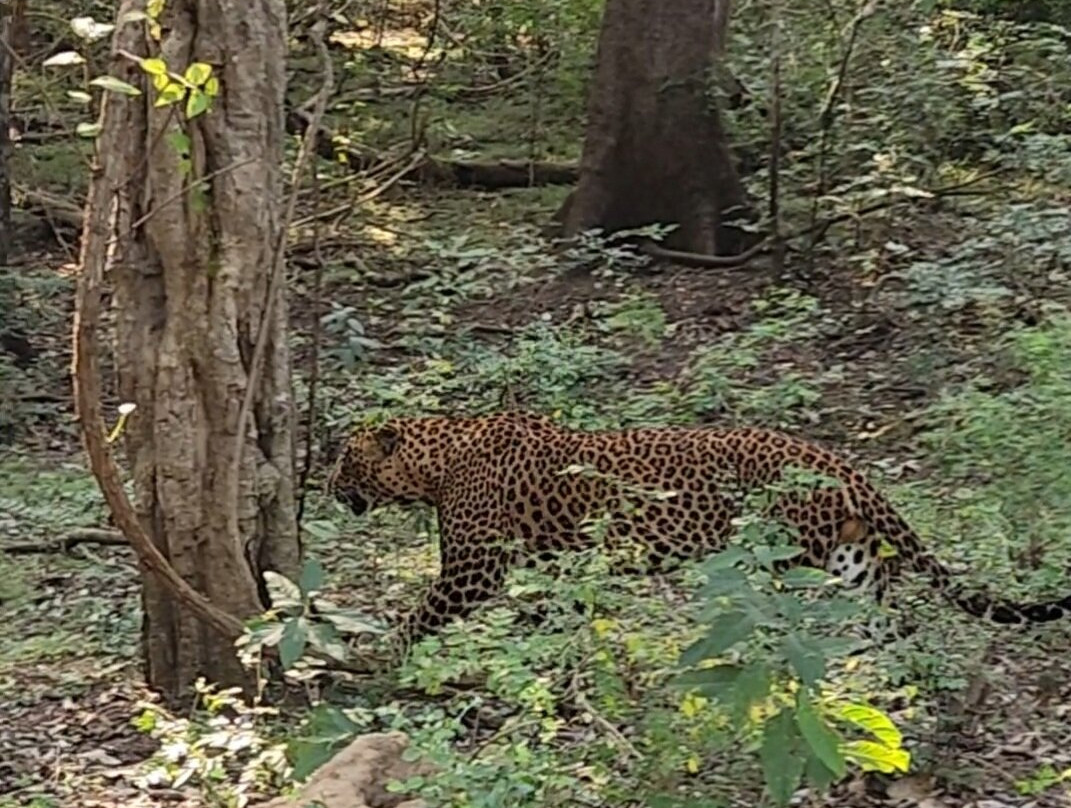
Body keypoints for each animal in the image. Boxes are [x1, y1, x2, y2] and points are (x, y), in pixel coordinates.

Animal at [327, 410, 1071, 655]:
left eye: (344, 458)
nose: (328, 487)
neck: (436, 459)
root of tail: (842, 465)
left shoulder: (473, 568)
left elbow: (421, 615)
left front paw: (374, 655)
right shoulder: (556, 564)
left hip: (785, 562)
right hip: (852, 561)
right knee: (886, 621)